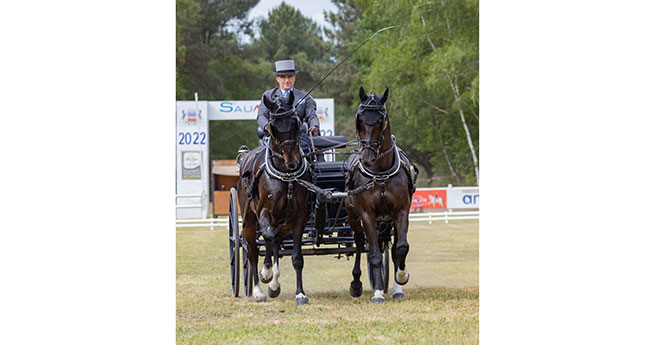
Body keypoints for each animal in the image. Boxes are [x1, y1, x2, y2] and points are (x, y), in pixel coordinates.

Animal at [237, 91, 312, 304]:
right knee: (253, 251)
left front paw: (300, 293)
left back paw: (273, 285)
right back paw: (258, 289)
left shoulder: (299, 217)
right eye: (272, 128)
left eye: (295, 122)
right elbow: (268, 237)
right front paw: (267, 273)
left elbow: (296, 258)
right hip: (249, 220)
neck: (285, 176)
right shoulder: (264, 213)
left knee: (276, 241)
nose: (292, 162)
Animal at [346, 87, 418, 302]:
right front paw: (378, 293)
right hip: (354, 217)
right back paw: (357, 284)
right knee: (361, 245)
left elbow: (400, 248)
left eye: (380, 120)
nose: (367, 158)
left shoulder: (401, 211)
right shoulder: (367, 214)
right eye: (360, 119)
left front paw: (401, 279)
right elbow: (375, 254)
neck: (380, 173)